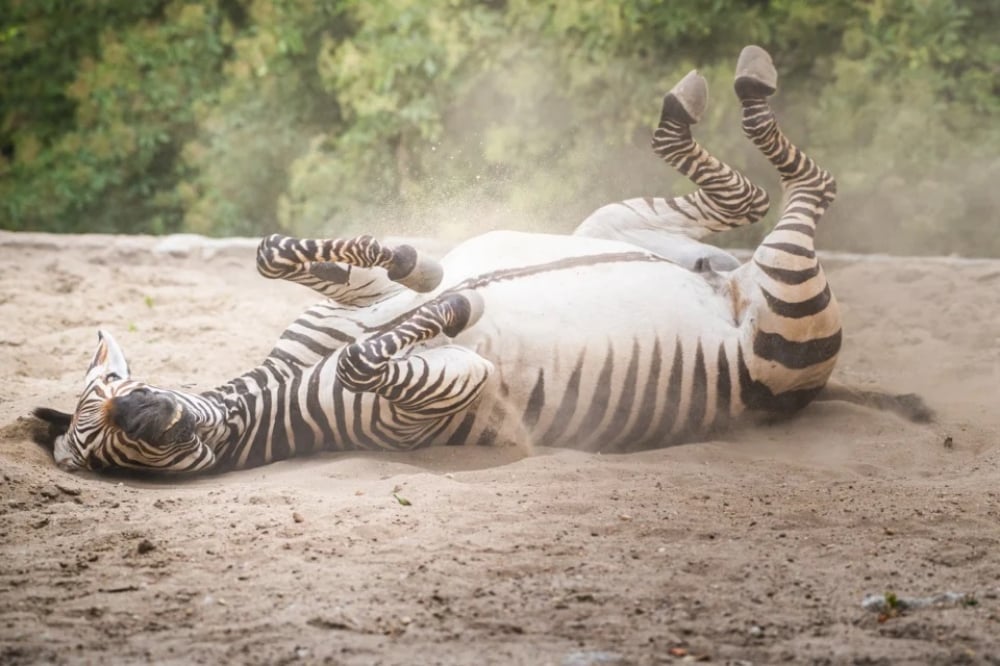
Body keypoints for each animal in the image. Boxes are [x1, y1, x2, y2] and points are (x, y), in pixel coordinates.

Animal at [31, 45, 924, 472]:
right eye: (102, 445)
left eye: (109, 394)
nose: (143, 414)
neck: (278, 392)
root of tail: (734, 289)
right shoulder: (445, 390)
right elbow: (368, 357)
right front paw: (455, 302)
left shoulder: (345, 302)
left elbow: (282, 256)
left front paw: (414, 263)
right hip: (783, 315)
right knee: (800, 193)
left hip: (610, 226)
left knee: (751, 197)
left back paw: (717, 90)